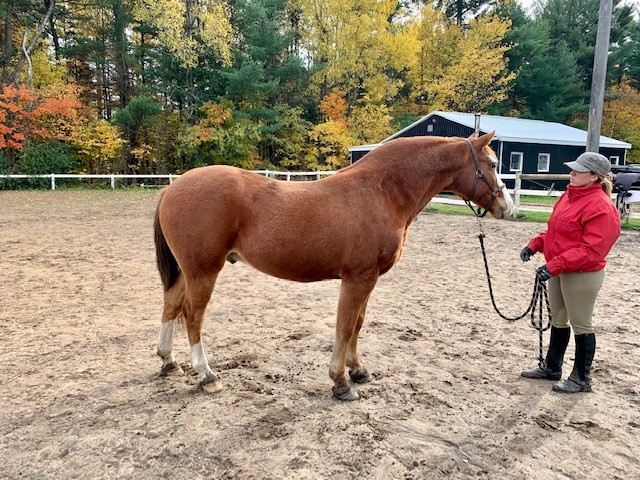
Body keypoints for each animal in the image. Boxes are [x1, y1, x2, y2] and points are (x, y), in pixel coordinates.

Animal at [153, 132, 513, 401]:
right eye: (492, 163)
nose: (507, 207)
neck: (383, 192)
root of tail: (172, 187)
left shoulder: (369, 278)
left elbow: (358, 323)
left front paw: (358, 370)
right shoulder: (357, 278)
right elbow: (345, 324)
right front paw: (341, 382)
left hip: (188, 271)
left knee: (171, 305)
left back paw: (169, 362)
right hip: (203, 270)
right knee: (192, 315)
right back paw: (207, 375)